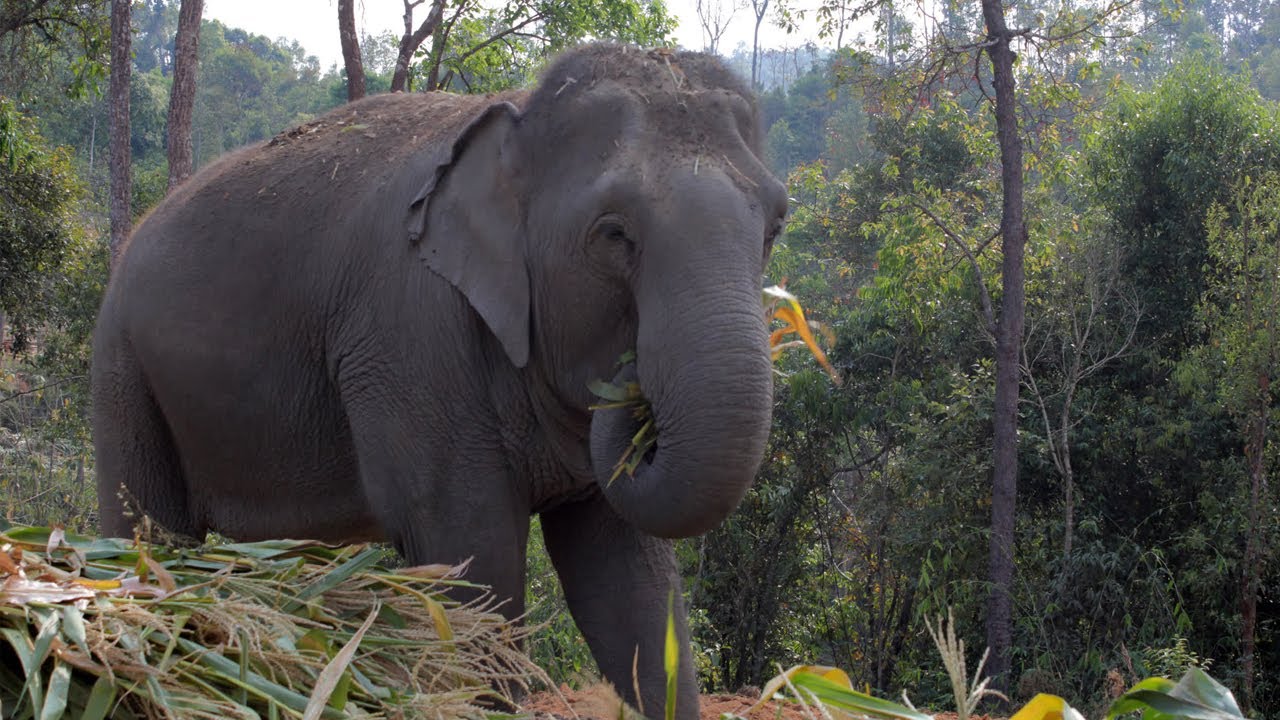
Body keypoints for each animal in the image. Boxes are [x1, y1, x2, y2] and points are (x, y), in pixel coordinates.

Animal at [92, 44, 786, 719]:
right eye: (615, 234)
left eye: (776, 226)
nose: (632, 386)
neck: (517, 116)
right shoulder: (409, 338)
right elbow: (472, 560)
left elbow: (628, 577)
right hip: (122, 366)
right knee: (149, 531)